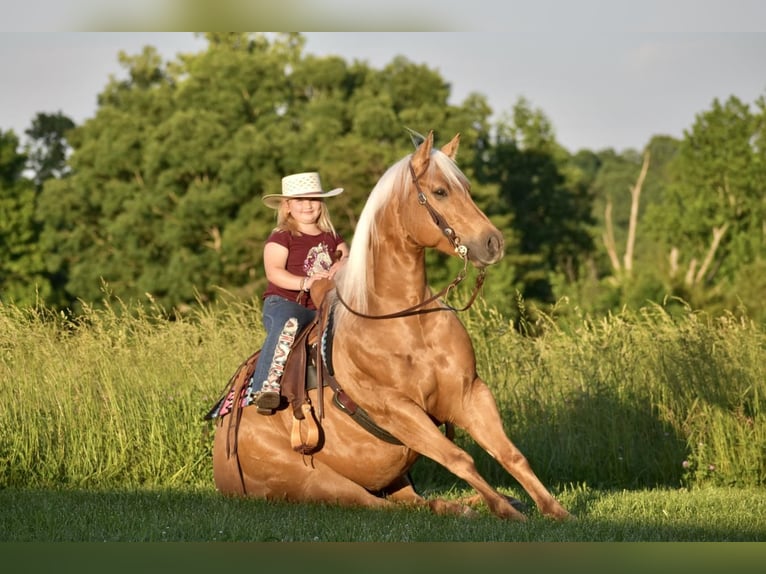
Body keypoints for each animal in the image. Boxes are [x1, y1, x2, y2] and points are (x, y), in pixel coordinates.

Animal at [213, 133, 572, 524]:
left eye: (467, 188)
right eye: (440, 191)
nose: (493, 243)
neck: (404, 320)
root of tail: (221, 456)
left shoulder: (470, 392)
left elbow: (510, 454)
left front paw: (553, 509)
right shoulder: (398, 409)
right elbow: (460, 458)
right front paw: (506, 512)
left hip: (395, 478)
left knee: (417, 501)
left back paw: (469, 505)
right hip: (328, 486)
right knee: (380, 505)